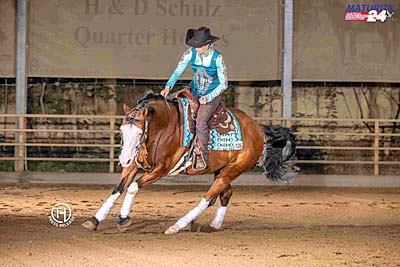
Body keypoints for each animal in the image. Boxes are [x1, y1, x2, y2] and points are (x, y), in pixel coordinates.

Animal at [81, 93, 296, 236]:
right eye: (122, 131)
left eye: (140, 132)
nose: (123, 159)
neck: (164, 127)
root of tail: (257, 128)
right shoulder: (134, 166)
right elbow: (118, 189)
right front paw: (94, 220)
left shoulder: (161, 169)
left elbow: (133, 187)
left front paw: (124, 218)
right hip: (222, 170)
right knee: (225, 194)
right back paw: (212, 225)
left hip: (233, 170)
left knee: (208, 197)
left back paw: (178, 226)